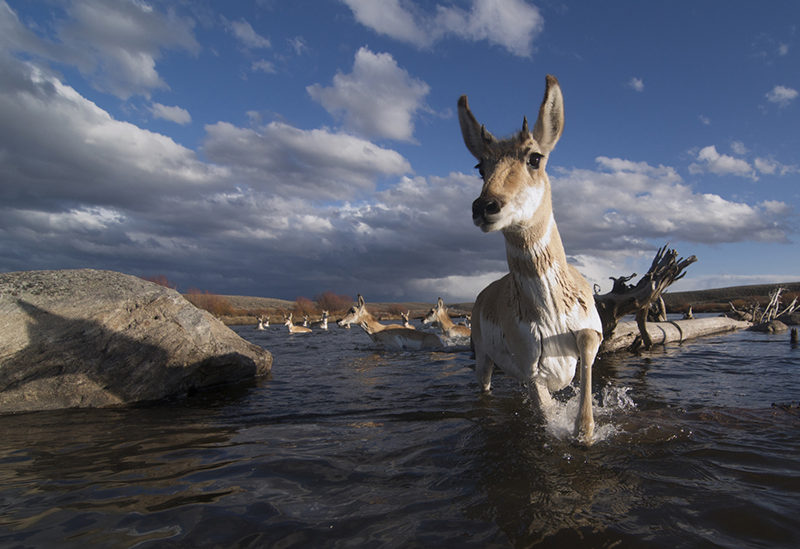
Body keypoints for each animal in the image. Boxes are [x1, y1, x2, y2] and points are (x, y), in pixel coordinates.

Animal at [460, 74, 604, 440]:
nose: (485, 206)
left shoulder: (592, 334)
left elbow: (586, 339)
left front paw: (584, 429)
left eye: (535, 157)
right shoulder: (531, 372)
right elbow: (545, 408)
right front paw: (577, 428)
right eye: (480, 166)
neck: (552, 313)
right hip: (484, 361)